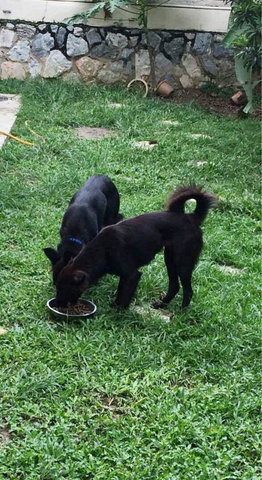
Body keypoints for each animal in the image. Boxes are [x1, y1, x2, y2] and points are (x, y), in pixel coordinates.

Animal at [54, 186, 216, 310]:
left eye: (63, 289)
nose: (56, 304)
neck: (102, 251)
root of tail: (191, 218)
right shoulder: (125, 276)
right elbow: (121, 290)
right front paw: (116, 305)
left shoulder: (132, 275)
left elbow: (124, 294)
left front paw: (120, 311)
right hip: (170, 258)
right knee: (174, 286)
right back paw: (162, 305)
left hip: (183, 262)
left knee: (188, 290)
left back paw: (181, 311)